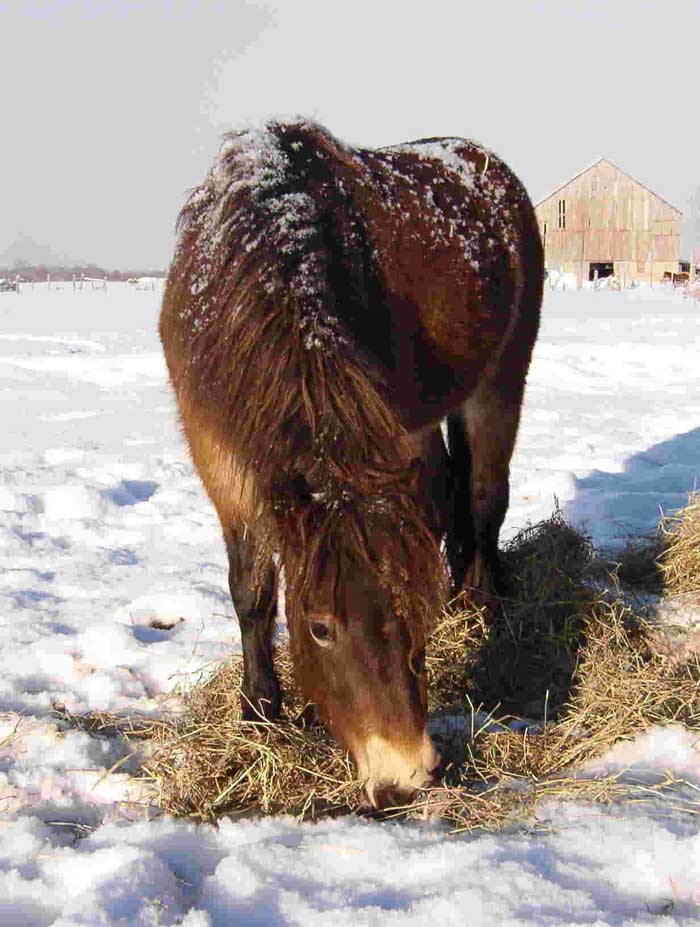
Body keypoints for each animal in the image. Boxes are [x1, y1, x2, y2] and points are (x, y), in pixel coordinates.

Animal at [161, 119, 544, 808]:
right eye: (319, 628)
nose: (405, 777)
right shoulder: (222, 458)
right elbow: (251, 589)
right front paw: (261, 713)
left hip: (500, 378)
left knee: (483, 496)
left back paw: (480, 604)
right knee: (447, 496)